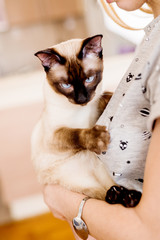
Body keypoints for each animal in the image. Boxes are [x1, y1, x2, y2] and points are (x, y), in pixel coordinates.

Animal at [31, 34, 114, 200]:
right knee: (101, 195)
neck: (82, 111)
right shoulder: (54, 136)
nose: (82, 99)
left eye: (89, 79)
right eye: (66, 85)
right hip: (83, 182)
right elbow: (75, 134)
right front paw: (97, 138)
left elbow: (104, 97)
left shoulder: (95, 113)